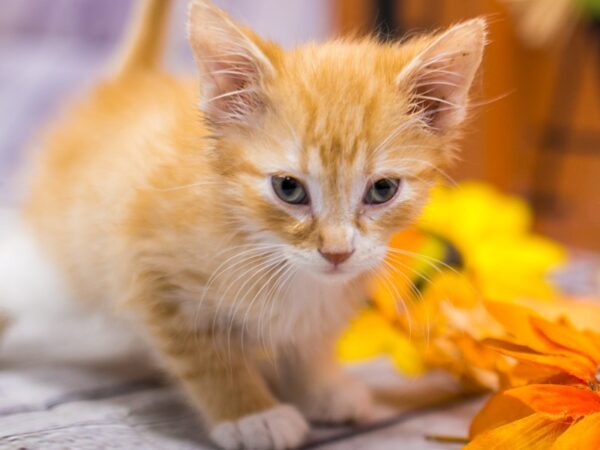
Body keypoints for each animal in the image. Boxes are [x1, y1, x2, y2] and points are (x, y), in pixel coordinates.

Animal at [22, 1, 488, 448]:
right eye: (288, 188)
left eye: (383, 189)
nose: (337, 252)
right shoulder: (150, 271)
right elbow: (207, 356)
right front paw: (250, 413)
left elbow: (310, 340)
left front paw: (319, 386)